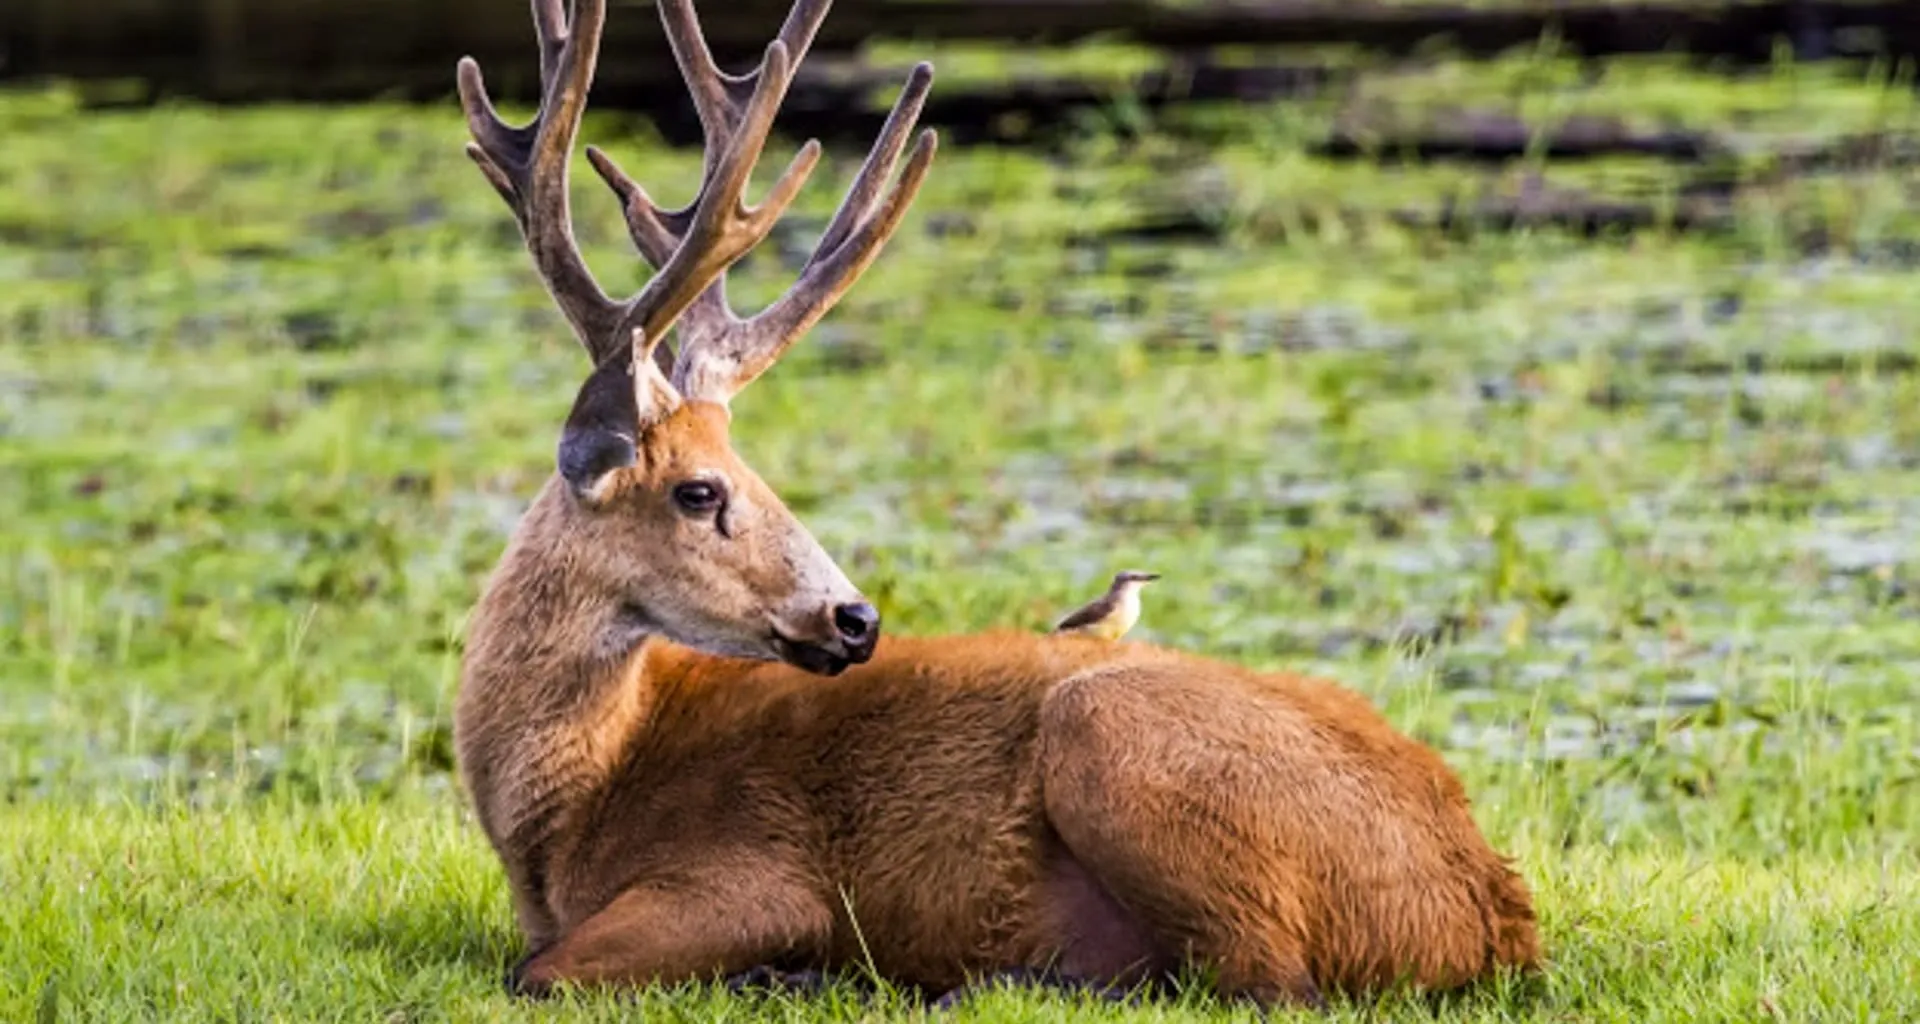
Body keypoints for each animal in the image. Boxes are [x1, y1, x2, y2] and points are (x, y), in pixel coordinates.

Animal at [451, 0, 1541, 1009]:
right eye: (700, 488)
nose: (856, 617)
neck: (572, 814)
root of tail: (1494, 910)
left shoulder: (755, 875)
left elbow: (534, 971)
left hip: (1110, 733)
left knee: (1261, 980)